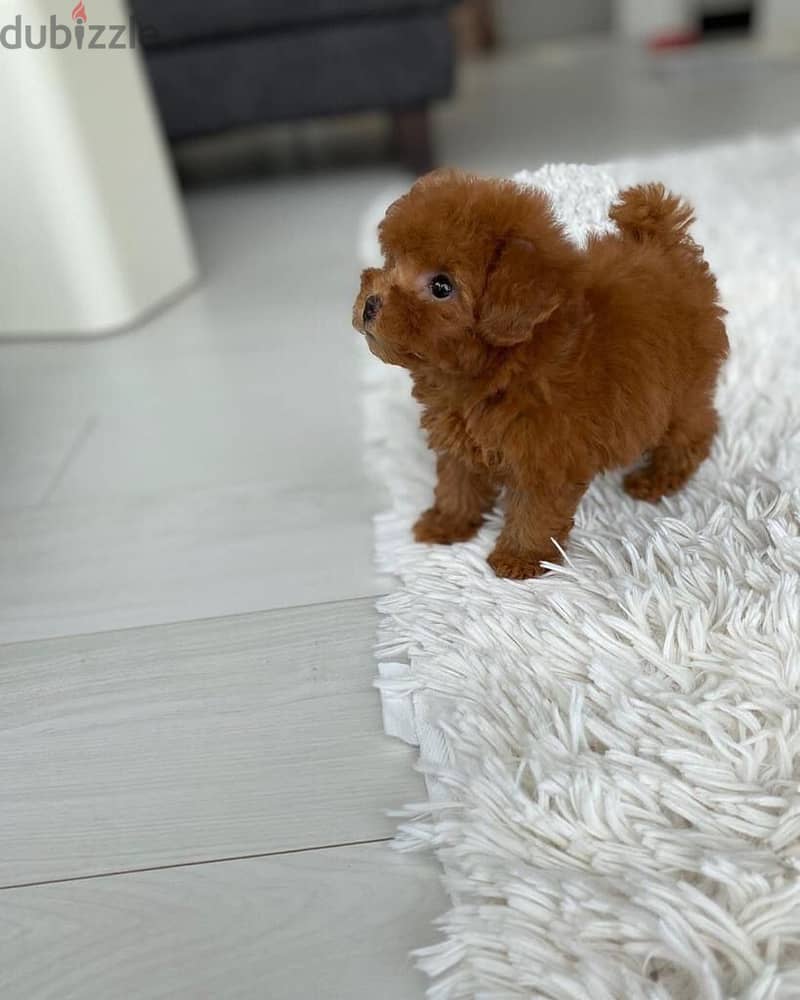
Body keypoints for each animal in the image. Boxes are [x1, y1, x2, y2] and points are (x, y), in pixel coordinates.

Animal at [354, 170, 728, 580]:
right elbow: (457, 482)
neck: (503, 362)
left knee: (693, 430)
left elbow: (535, 510)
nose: (371, 304)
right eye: (391, 261)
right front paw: (447, 523)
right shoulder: (461, 438)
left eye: (441, 286)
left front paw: (520, 558)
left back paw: (657, 478)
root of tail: (665, 244)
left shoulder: (545, 453)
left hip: (683, 388)